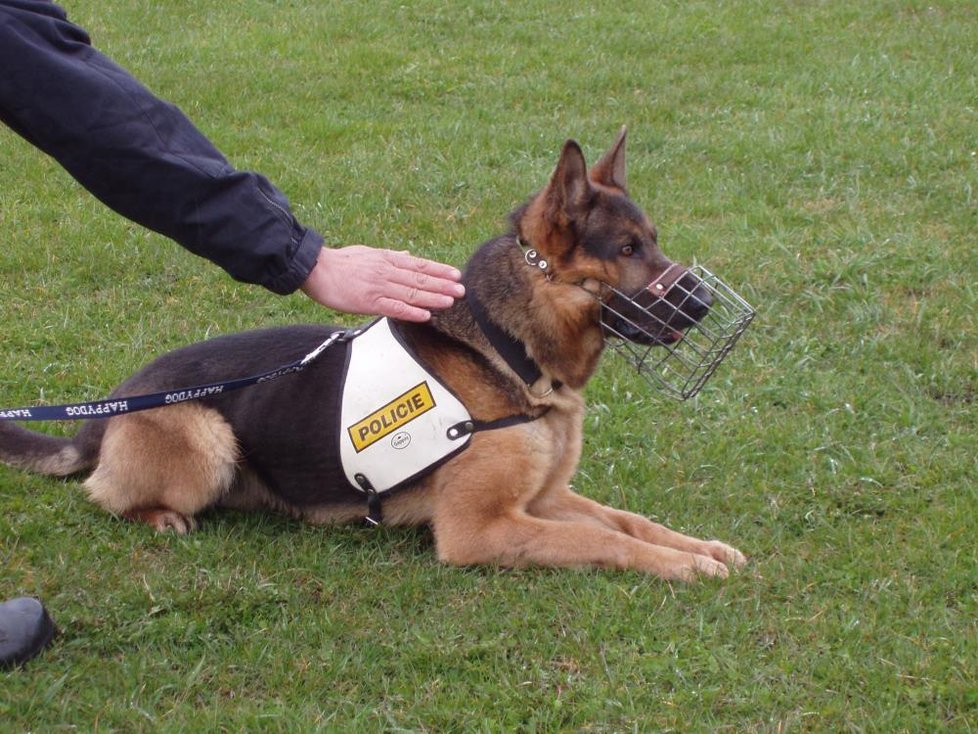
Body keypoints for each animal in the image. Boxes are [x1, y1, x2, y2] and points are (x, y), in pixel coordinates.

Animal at [1, 131, 748, 580]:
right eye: (627, 250)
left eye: (654, 240)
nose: (707, 306)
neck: (508, 354)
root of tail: (109, 410)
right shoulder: (481, 530)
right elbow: (604, 541)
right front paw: (688, 568)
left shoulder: (547, 498)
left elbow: (628, 520)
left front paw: (702, 549)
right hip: (206, 438)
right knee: (102, 494)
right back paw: (159, 515)